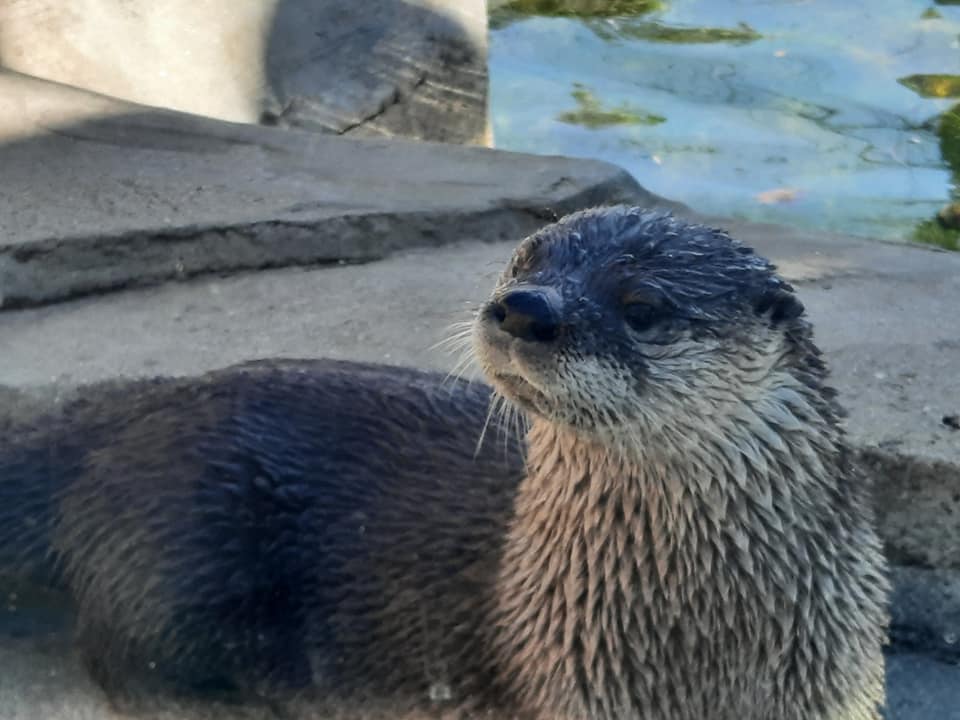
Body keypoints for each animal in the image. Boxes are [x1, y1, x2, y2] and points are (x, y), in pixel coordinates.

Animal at [0, 207, 889, 719]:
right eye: (522, 263)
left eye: (641, 306)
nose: (523, 307)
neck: (707, 642)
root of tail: (122, 414)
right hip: (182, 535)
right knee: (124, 660)